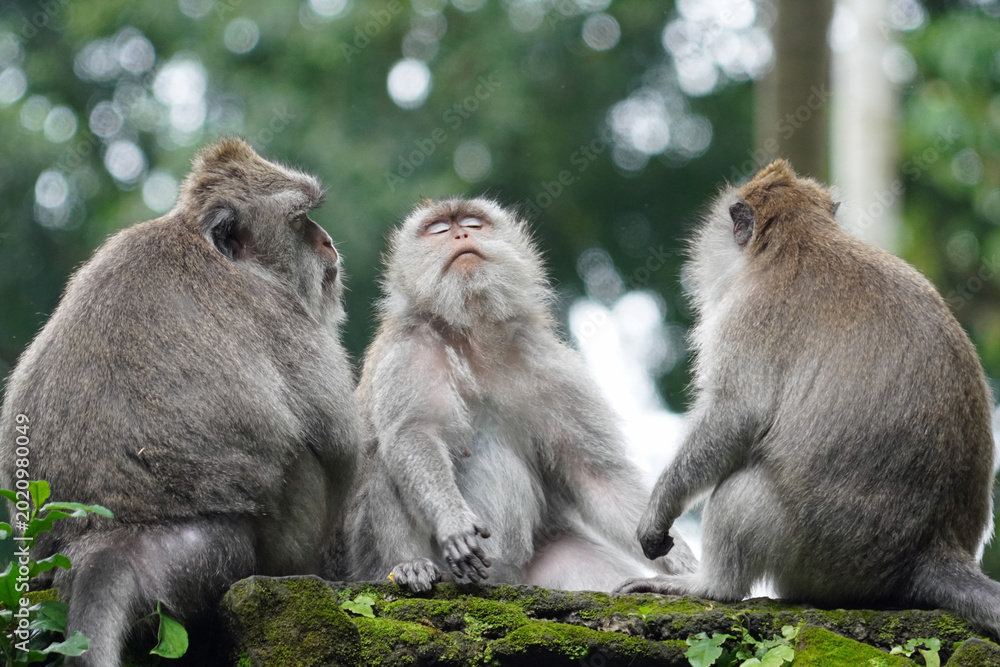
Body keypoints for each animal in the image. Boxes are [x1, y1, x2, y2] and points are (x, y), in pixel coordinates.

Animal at [0, 138, 362, 666]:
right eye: (300, 221)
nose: (328, 242)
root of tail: (103, 538)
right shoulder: (280, 315)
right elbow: (342, 447)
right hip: (246, 548)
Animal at [344, 197, 697, 593]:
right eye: (438, 229)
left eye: (473, 223)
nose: (461, 235)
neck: (473, 333)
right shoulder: (409, 346)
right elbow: (414, 433)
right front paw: (453, 521)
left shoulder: (548, 364)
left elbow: (595, 474)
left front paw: (683, 564)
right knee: (386, 460)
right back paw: (409, 567)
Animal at [615, 159, 1000, 637]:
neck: (801, 239)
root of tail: (929, 551)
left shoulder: (749, 315)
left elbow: (734, 416)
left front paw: (658, 511)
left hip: (820, 555)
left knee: (743, 489)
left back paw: (709, 587)